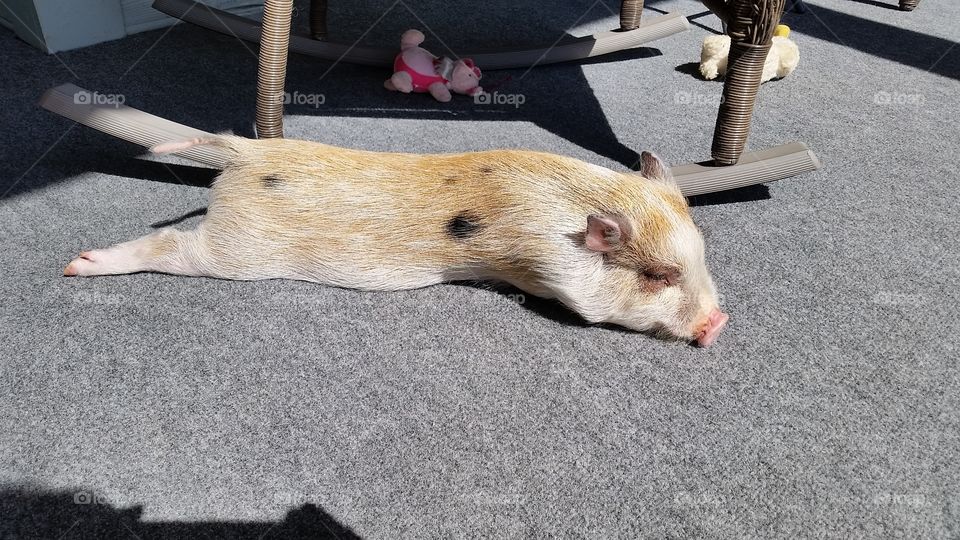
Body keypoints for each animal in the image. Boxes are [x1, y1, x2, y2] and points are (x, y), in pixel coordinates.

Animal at [64, 136, 729, 346]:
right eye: (658, 275)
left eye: (699, 260)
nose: (720, 323)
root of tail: (245, 153)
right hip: (236, 249)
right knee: (169, 247)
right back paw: (75, 267)